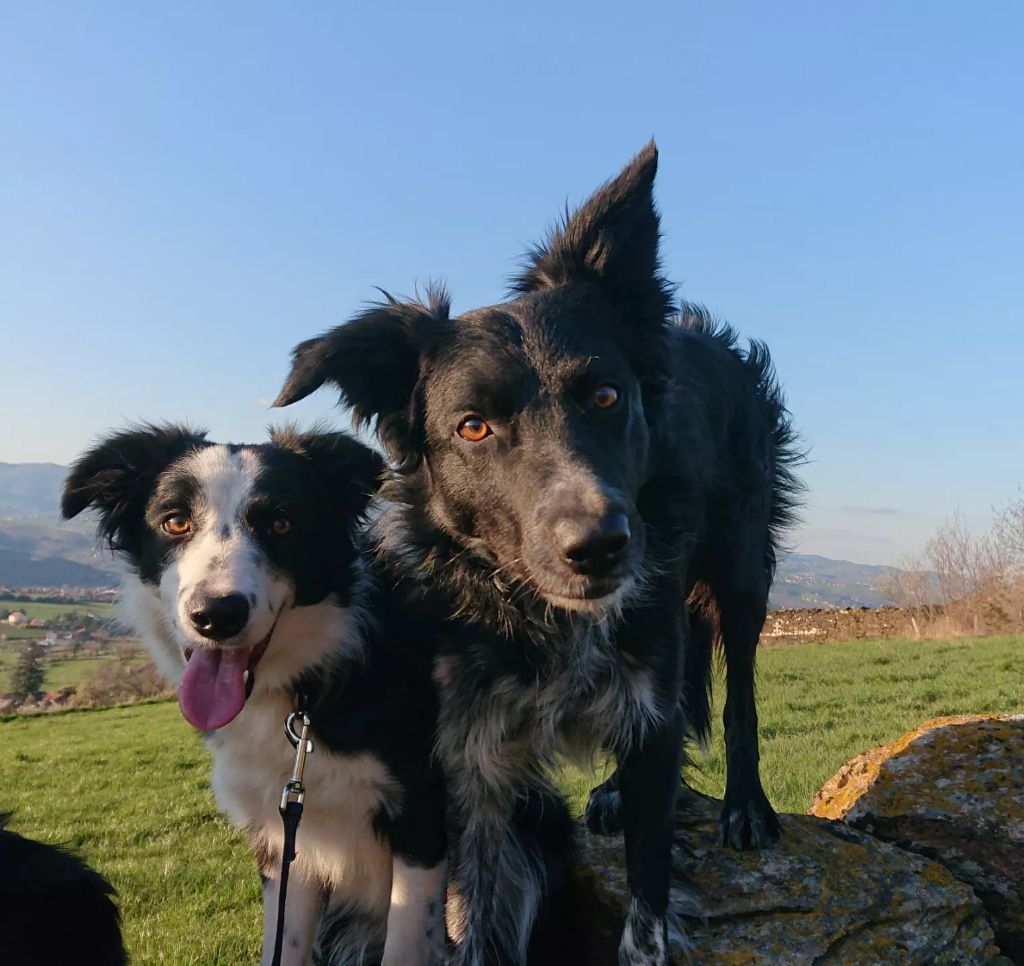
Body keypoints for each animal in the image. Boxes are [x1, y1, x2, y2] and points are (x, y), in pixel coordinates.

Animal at [276, 143, 802, 966]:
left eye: (607, 397)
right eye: (473, 427)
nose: (600, 547)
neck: (544, 614)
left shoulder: (650, 697)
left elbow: (646, 912)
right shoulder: (474, 755)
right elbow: (477, 919)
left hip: (743, 564)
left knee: (739, 685)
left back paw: (745, 805)